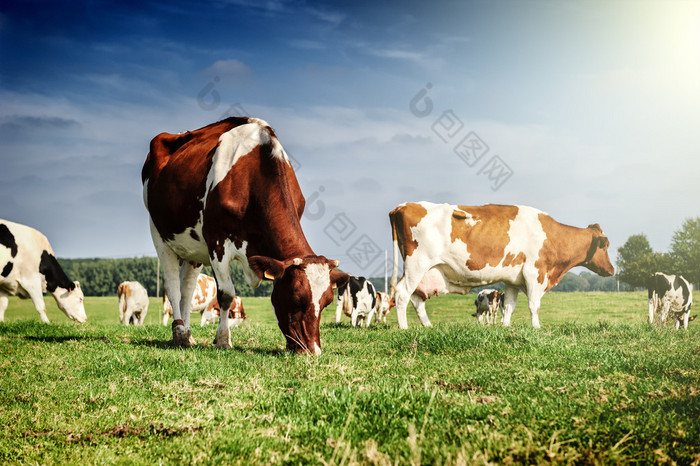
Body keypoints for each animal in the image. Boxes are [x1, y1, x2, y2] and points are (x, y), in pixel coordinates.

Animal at [143, 116, 350, 354]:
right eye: (296, 298)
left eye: (327, 302)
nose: (313, 351)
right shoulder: (217, 241)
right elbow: (226, 294)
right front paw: (223, 340)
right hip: (159, 233)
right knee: (173, 286)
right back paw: (179, 333)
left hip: (192, 247)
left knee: (187, 289)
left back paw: (188, 335)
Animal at [388, 203, 612, 328]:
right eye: (606, 245)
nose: (612, 269)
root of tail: (403, 206)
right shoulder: (534, 272)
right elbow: (534, 305)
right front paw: (537, 328)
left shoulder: (513, 280)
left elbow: (509, 307)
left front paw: (505, 327)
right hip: (417, 264)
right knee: (402, 294)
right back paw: (404, 328)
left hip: (424, 271)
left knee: (417, 299)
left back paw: (428, 326)